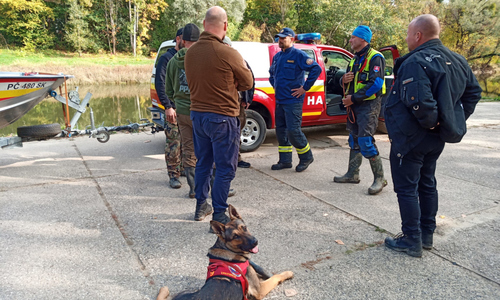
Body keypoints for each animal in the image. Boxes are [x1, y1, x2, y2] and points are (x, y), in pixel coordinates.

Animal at [157, 205, 292, 300]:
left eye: (244, 227)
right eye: (235, 236)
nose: (255, 242)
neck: (227, 249)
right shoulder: (259, 289)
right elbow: (276, 276)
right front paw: (288, 273)